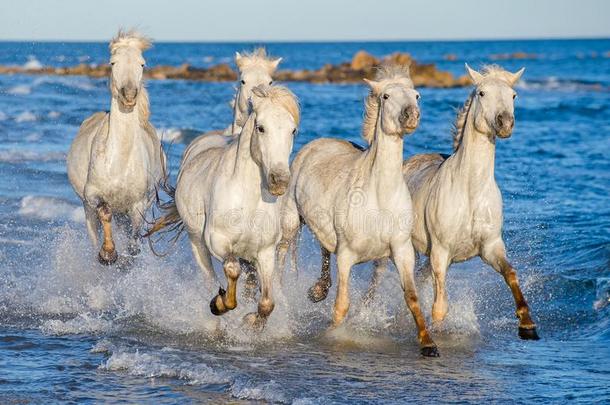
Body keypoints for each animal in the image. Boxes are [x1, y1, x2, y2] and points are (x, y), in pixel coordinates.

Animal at [66, 30, 165, 266]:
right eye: (113, 62)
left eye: (142, 64)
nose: (129, 96)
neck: (120, 161)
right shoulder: (93, 195)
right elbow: (105, 212)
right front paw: (108, 254)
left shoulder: (139, 204)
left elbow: (134, 238)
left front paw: (127, 259)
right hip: (87, 210)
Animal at [147, 85, 300, 328]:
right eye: (261, 128)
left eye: (293, 130)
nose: (279, 181)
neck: (248, 201)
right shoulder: (217, 241)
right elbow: (232, 269)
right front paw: (219, 304)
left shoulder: (265, 253)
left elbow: (267, 302)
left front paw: (251, 321)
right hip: (197, 242)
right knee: (210, 277)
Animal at [276, 64, 436, 356]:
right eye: (385, 96)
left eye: (417, 95)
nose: (411, 115)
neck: (379, 195)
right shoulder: (347, 255)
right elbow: (342, 305)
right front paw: (331, 336)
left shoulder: (402, 252)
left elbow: (412, 297)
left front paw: (429, 345)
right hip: (291, 222)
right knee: (282, 256)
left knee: (324, 248)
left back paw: (318, 290)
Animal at [364, 64, 536, 338]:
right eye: (482, 93)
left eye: (513, 95)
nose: (505, 123)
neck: (470, 191)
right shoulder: (441, 252)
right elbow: (439, 307)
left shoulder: (491, 246)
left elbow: (511, 274)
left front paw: (527, 325)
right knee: (376, 281)